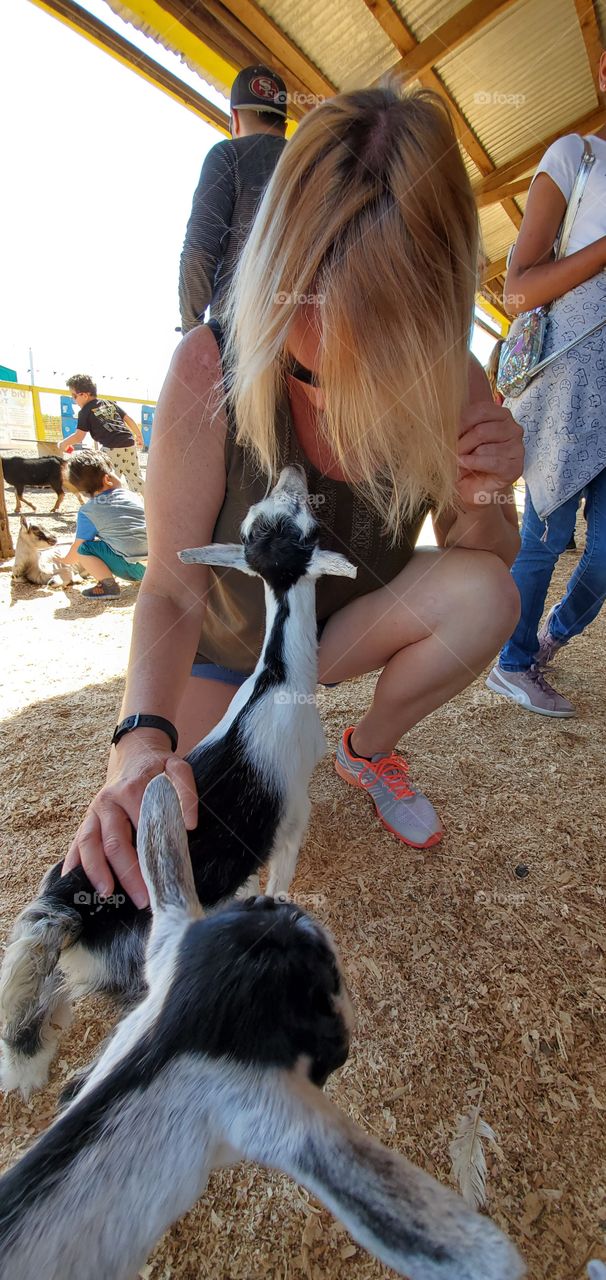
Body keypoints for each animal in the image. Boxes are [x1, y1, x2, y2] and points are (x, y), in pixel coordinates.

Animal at [0, 465, 353, 1095]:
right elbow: (283, 875)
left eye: (261, 524)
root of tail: (68, 910)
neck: (278, 677)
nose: (292, 471)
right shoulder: (292, 815)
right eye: (299, 523)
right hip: (141, 979)